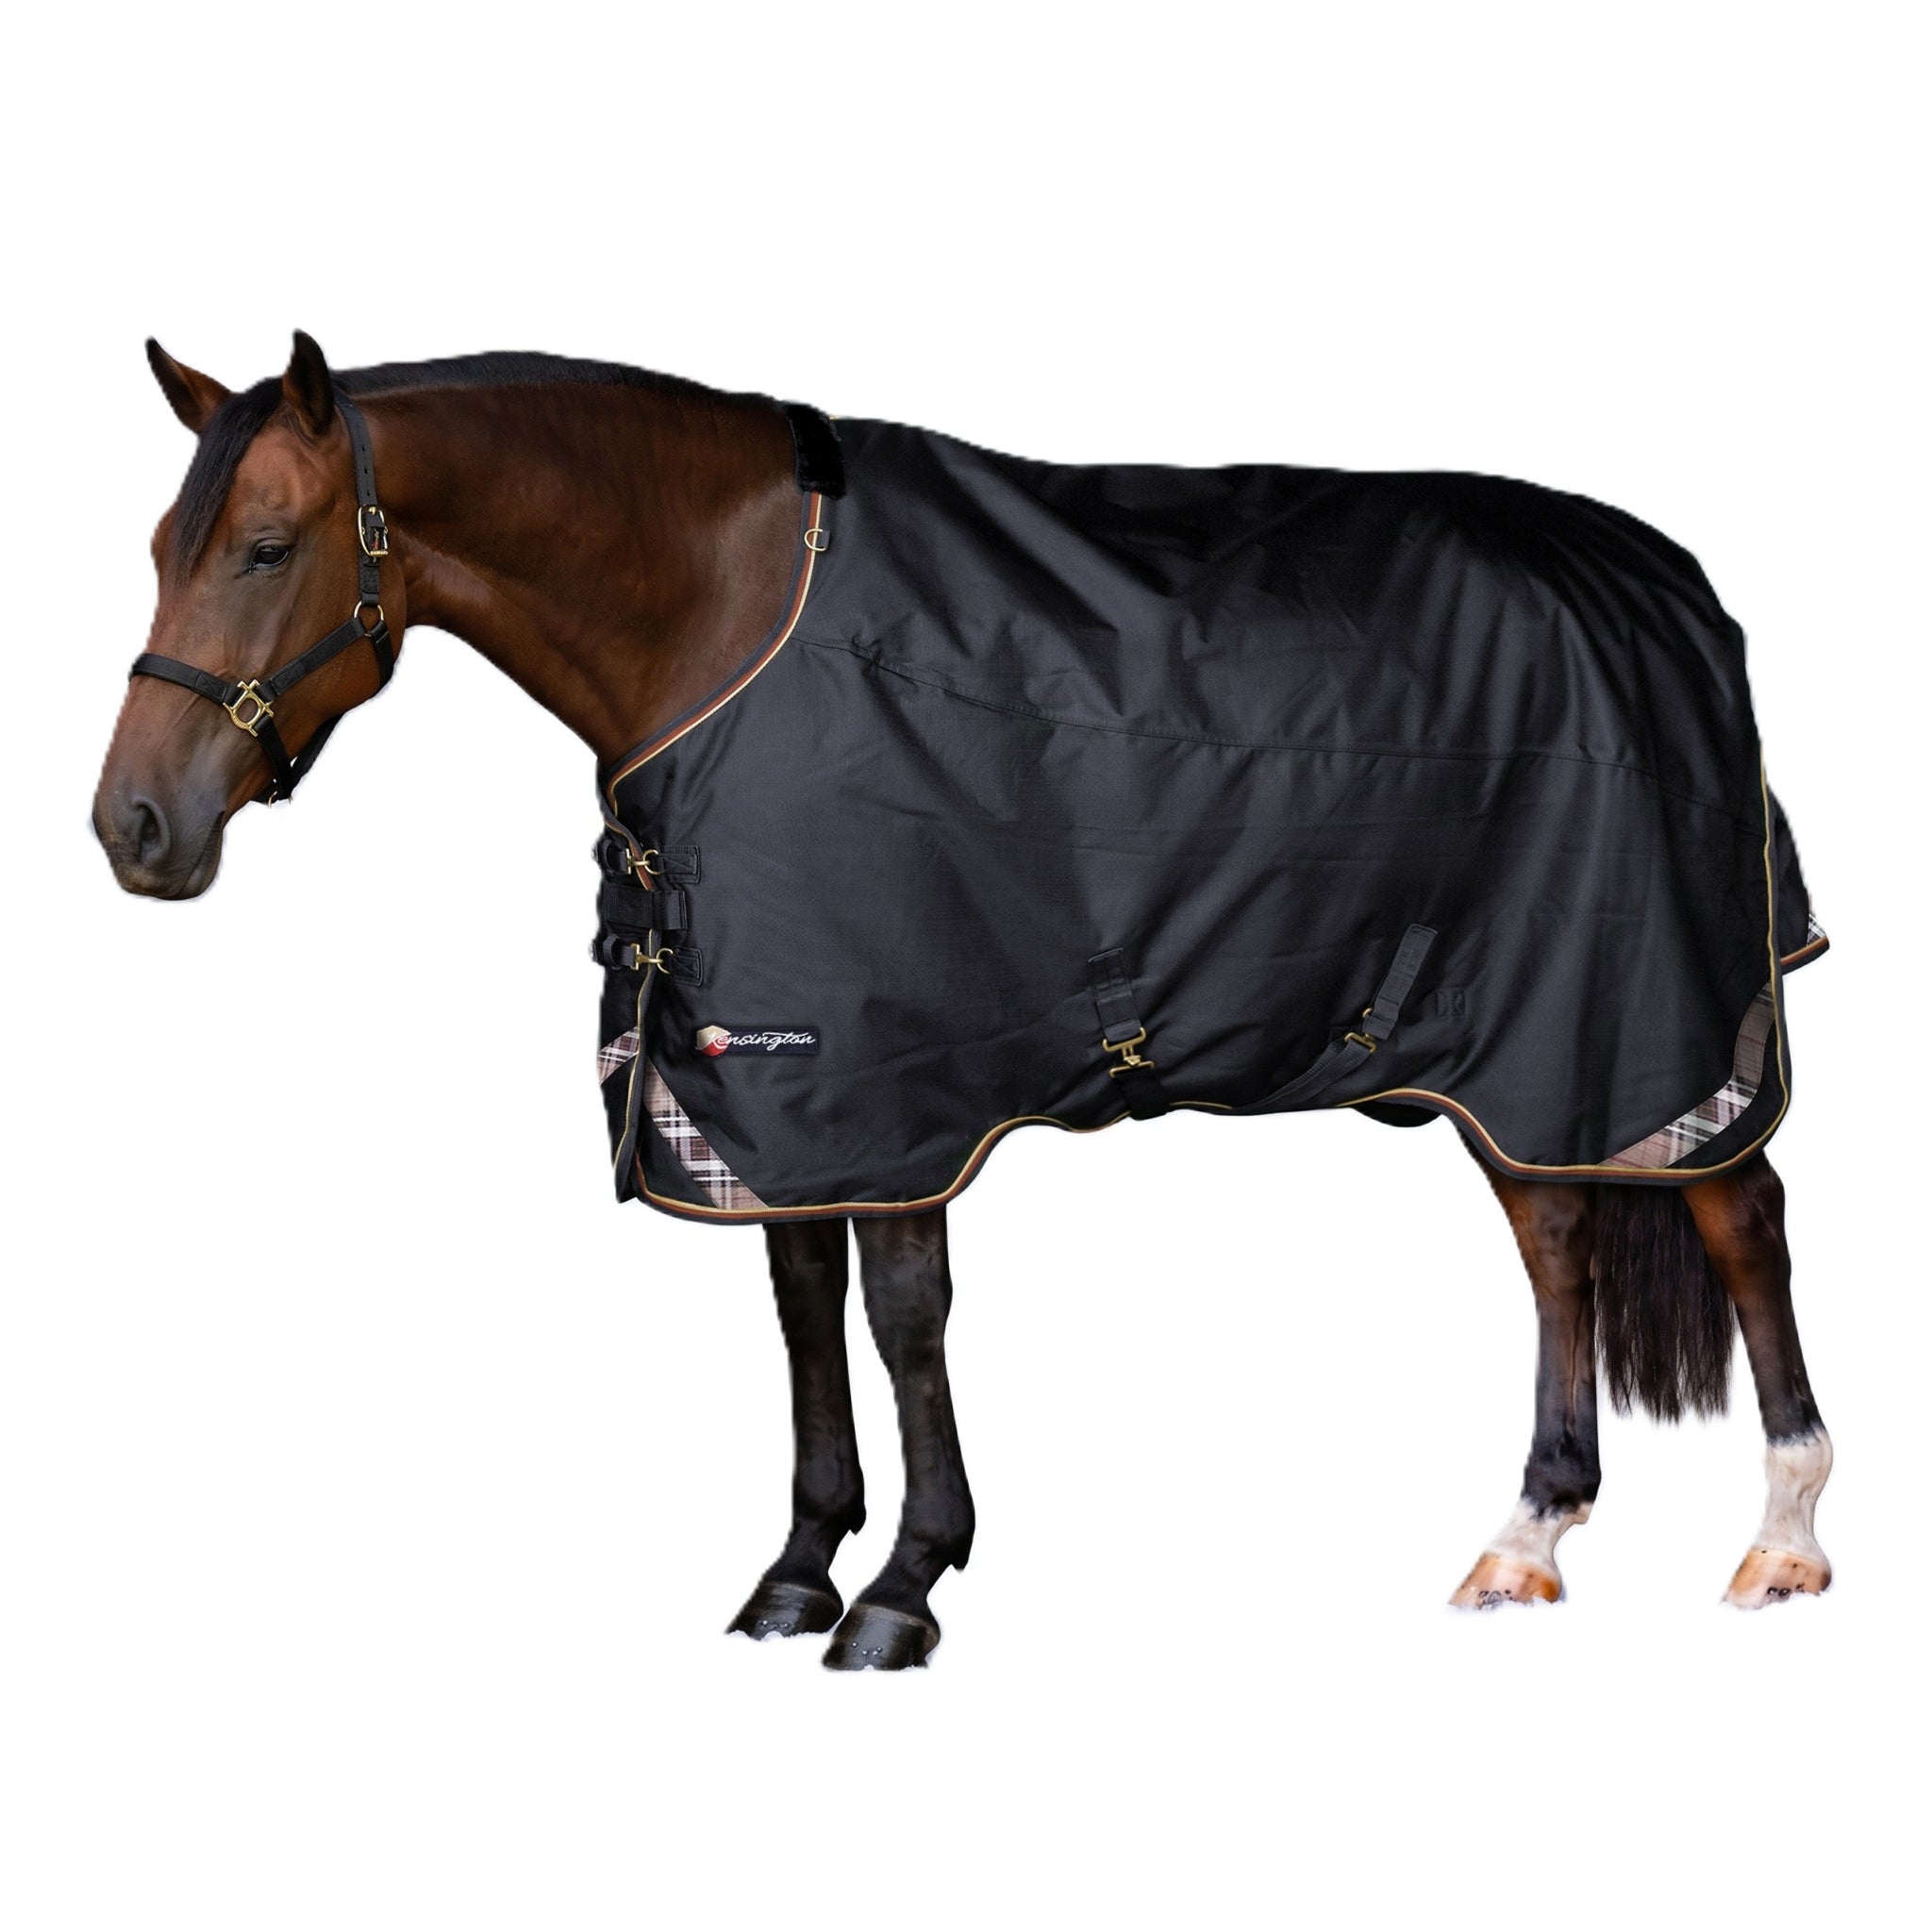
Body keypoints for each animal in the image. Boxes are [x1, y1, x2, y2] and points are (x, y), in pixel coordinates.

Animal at [93, 332, 1833, 1669]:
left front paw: (902, 1589)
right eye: (164, 551)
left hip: (1649, 1009)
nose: (134, 829)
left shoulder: (900, 1074)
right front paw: (796, 1571)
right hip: (1510, 1040)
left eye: (265, 547)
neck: (729, 615)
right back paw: (1526, 1537)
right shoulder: (762, 1087)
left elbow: (902, 1316)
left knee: (1738, 1215)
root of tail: (1658, 579)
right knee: (1555, 1233)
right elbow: (802, 1310)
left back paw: (1783, 1539)